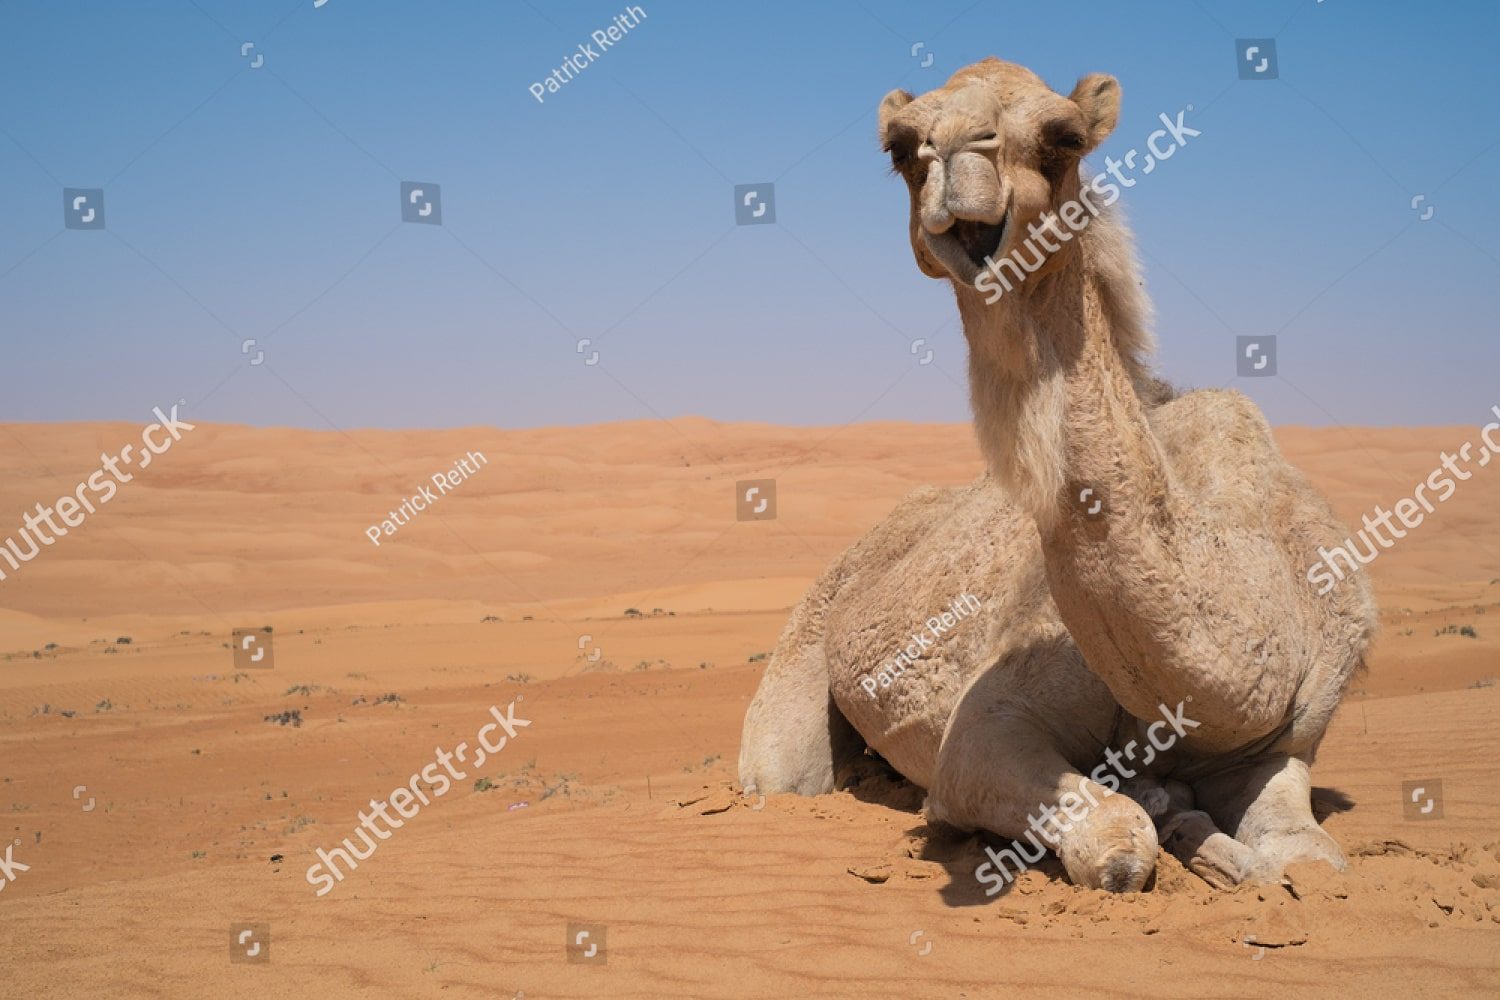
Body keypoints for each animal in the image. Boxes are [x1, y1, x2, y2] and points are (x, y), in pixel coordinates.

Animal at [738, 57, 1377, 893]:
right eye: (901, 147)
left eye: (1065, 137)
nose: (952, 153)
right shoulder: (986, 726)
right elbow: (1118, 846)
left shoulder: (1288, 736)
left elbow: (1313, 856)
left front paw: (1233, 846)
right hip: (808, 641)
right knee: (778, 773)